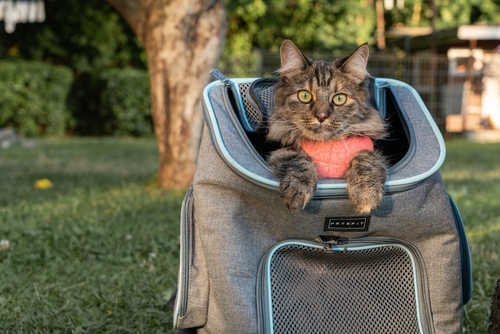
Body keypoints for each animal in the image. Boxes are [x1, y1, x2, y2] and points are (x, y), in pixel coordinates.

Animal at [266, 39, 386, 214]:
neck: (327, 144)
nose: (321, 116)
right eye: (305, 96)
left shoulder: (368, 148)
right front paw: (298, 189)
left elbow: (366, 158)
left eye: (339, 99)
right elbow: (298, 159)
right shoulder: (280, 151)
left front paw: (365, 194)